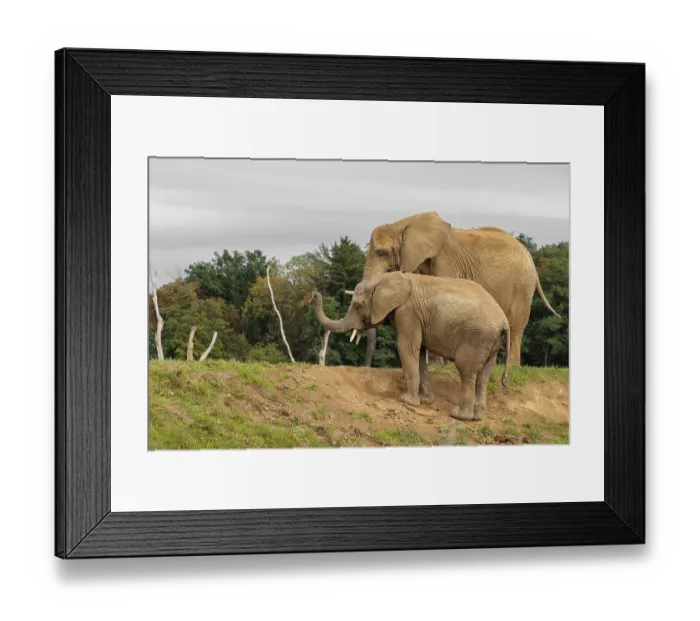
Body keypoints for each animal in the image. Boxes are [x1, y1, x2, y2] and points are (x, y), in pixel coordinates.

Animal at [312, 272, 510, 421]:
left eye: (358, 305)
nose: (313, 294)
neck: (386, 278)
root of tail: (504, 322)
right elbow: (419, 352)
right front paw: (426, 400)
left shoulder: (407, 312)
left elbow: (406, 347)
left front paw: (407, 401)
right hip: (490, 342)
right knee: (484, 376)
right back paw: (477, 417)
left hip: (478, 337)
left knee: (467, 372)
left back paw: (460, 416)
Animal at [358, 211, 560, 367]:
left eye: (382, 253)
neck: (403, 225)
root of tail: (530, 256)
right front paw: (437, 367)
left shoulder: (446, 261)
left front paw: (443, 367)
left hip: (522, 285)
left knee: (516, 325)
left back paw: (512, 368)